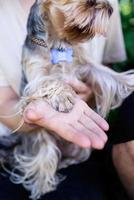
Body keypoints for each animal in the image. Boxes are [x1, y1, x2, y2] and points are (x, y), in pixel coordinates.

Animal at [9, 0, 134, 199]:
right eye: (89, 3)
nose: (111, 9)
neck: (58, 44)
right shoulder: (35, 77)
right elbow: (51, 80)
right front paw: (63, 97)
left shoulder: (84, 65)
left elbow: (107, 74)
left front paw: (129, 81)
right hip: (40, 138)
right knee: (44, 155)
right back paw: (42, 184)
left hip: (81, 149)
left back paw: (67, 162)